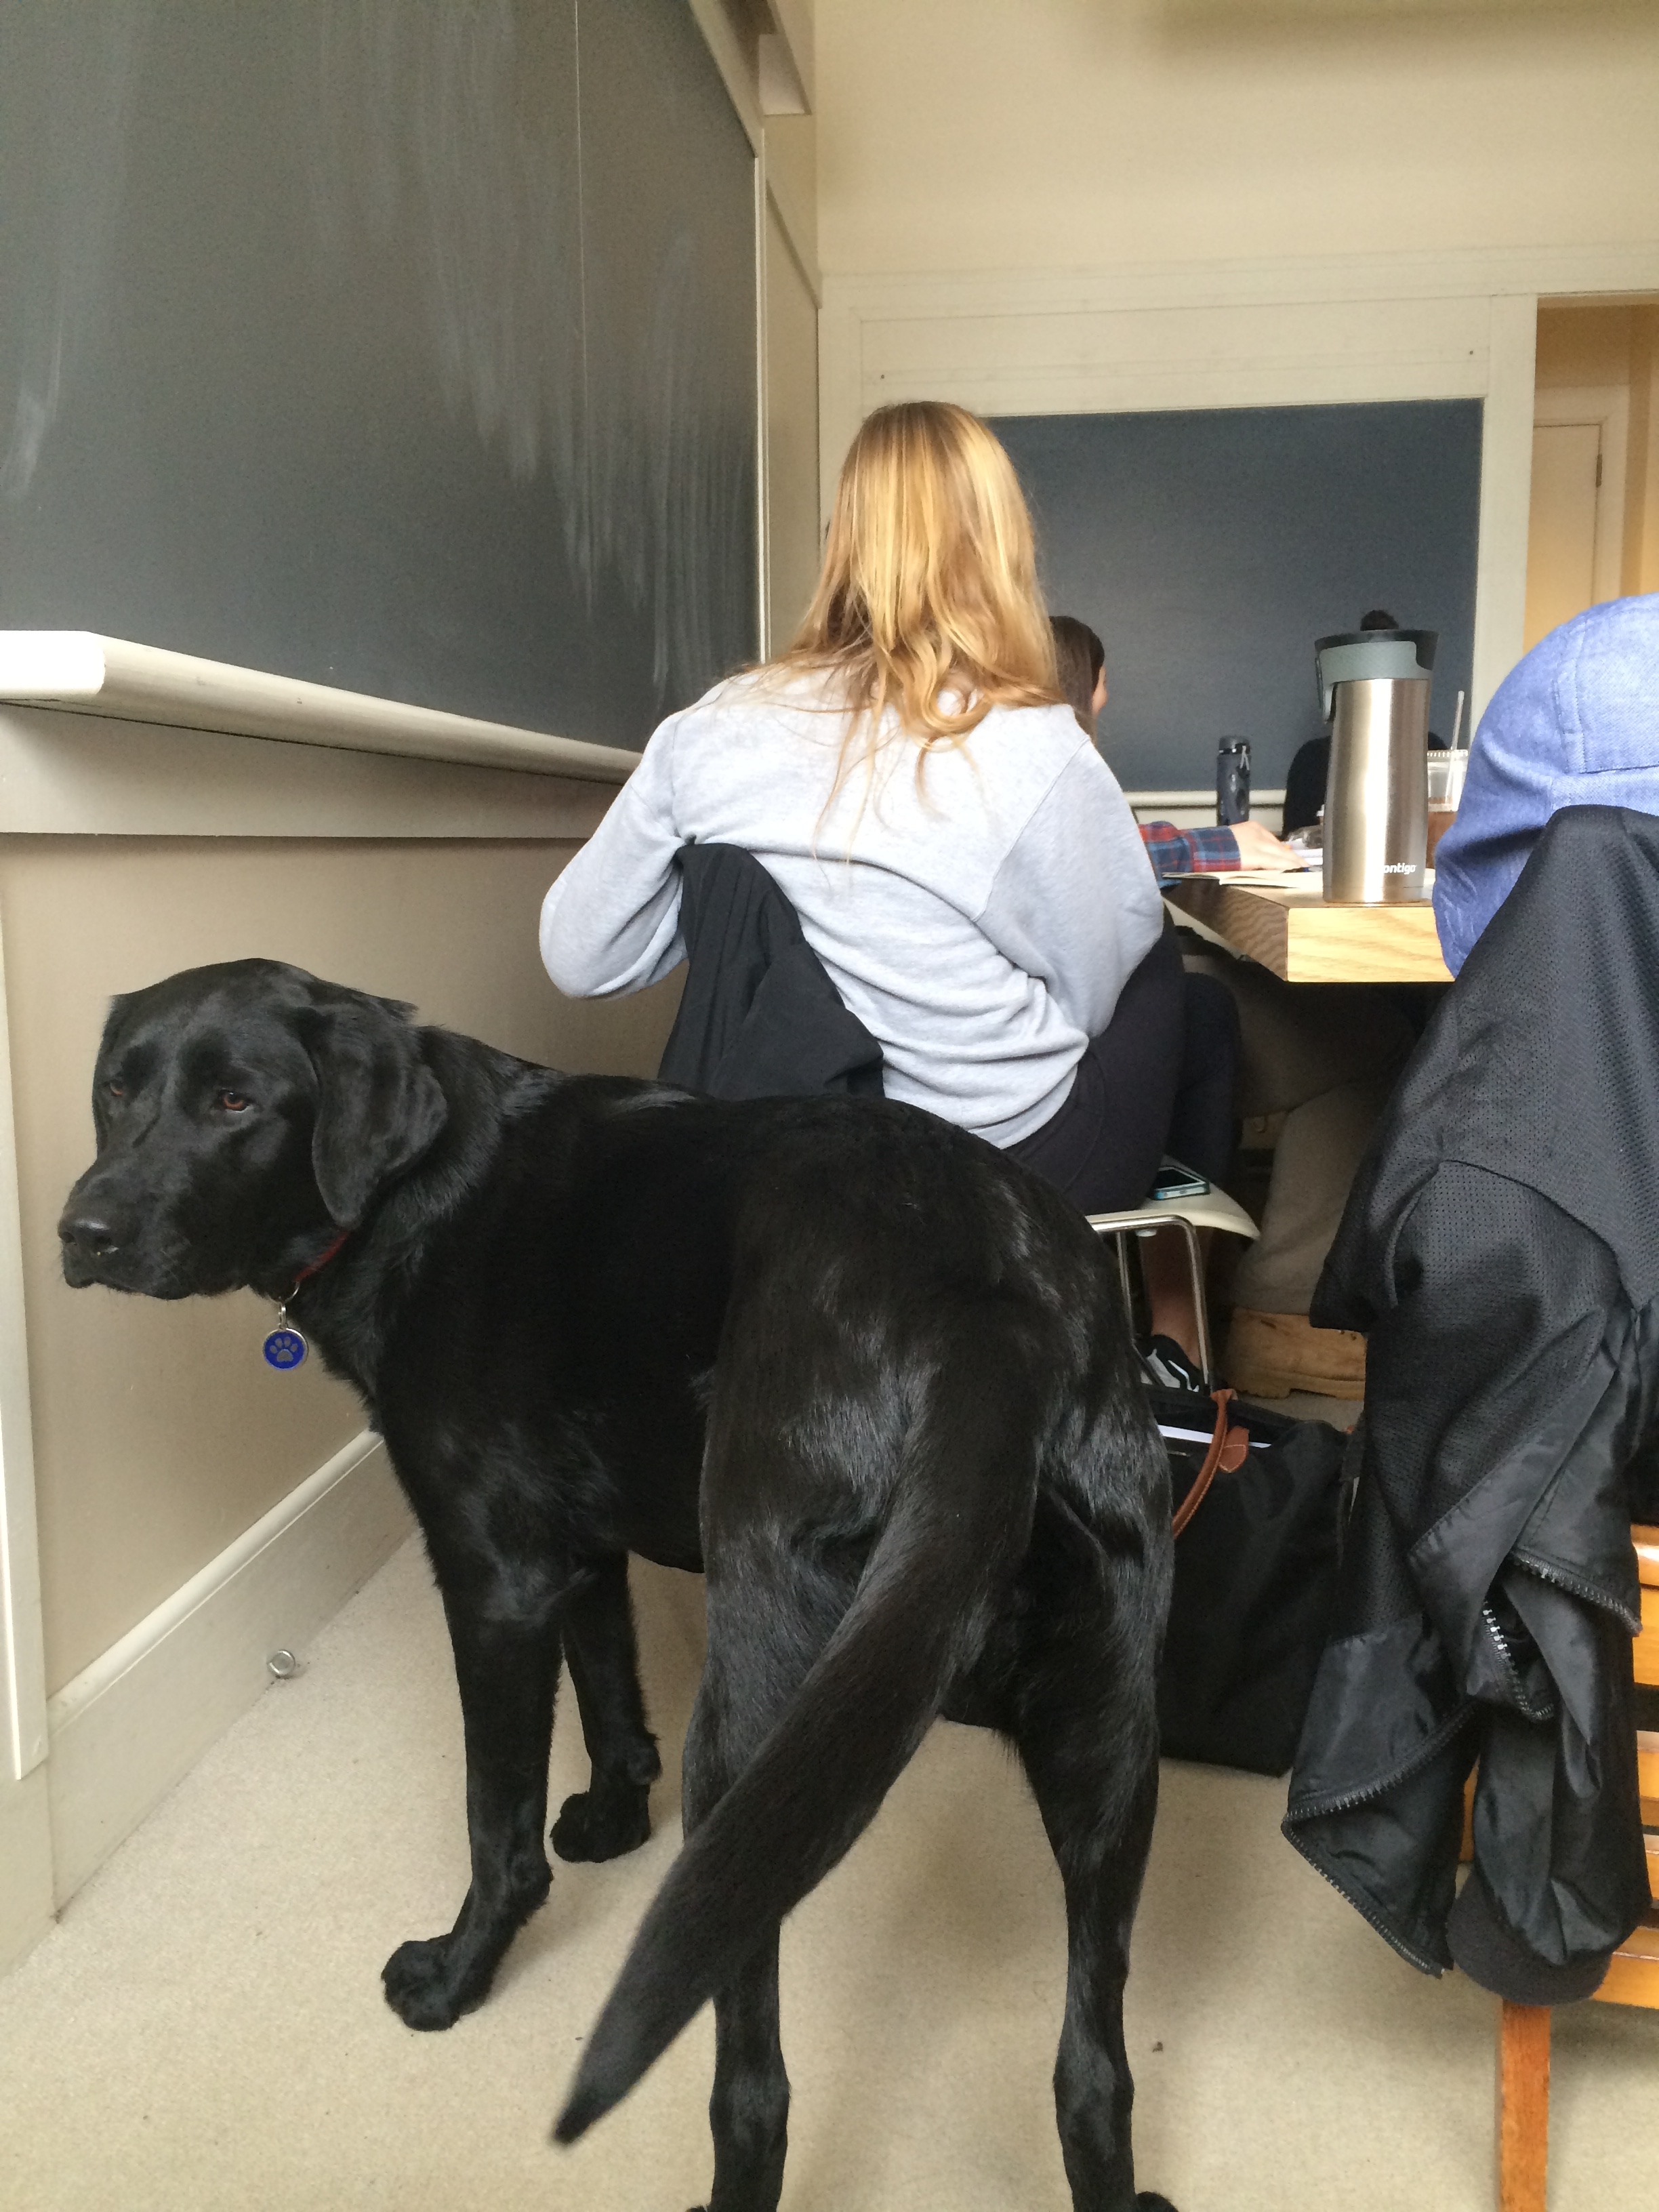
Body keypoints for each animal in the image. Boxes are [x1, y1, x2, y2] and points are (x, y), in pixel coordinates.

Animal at [58, 960, 1176, 2203]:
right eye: (117, 1088)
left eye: (235, 1102)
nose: (81, 1230)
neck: (414, 1197)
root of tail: (988, 1302)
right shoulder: (576, 1551)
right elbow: (609, 1691)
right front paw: (611, 1815)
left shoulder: (493, 1577)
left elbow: (494, 1817)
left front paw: (457, 1974)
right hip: (1109, 1744)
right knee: (1092, 2073)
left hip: (760, 1740)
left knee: (755, 2086)